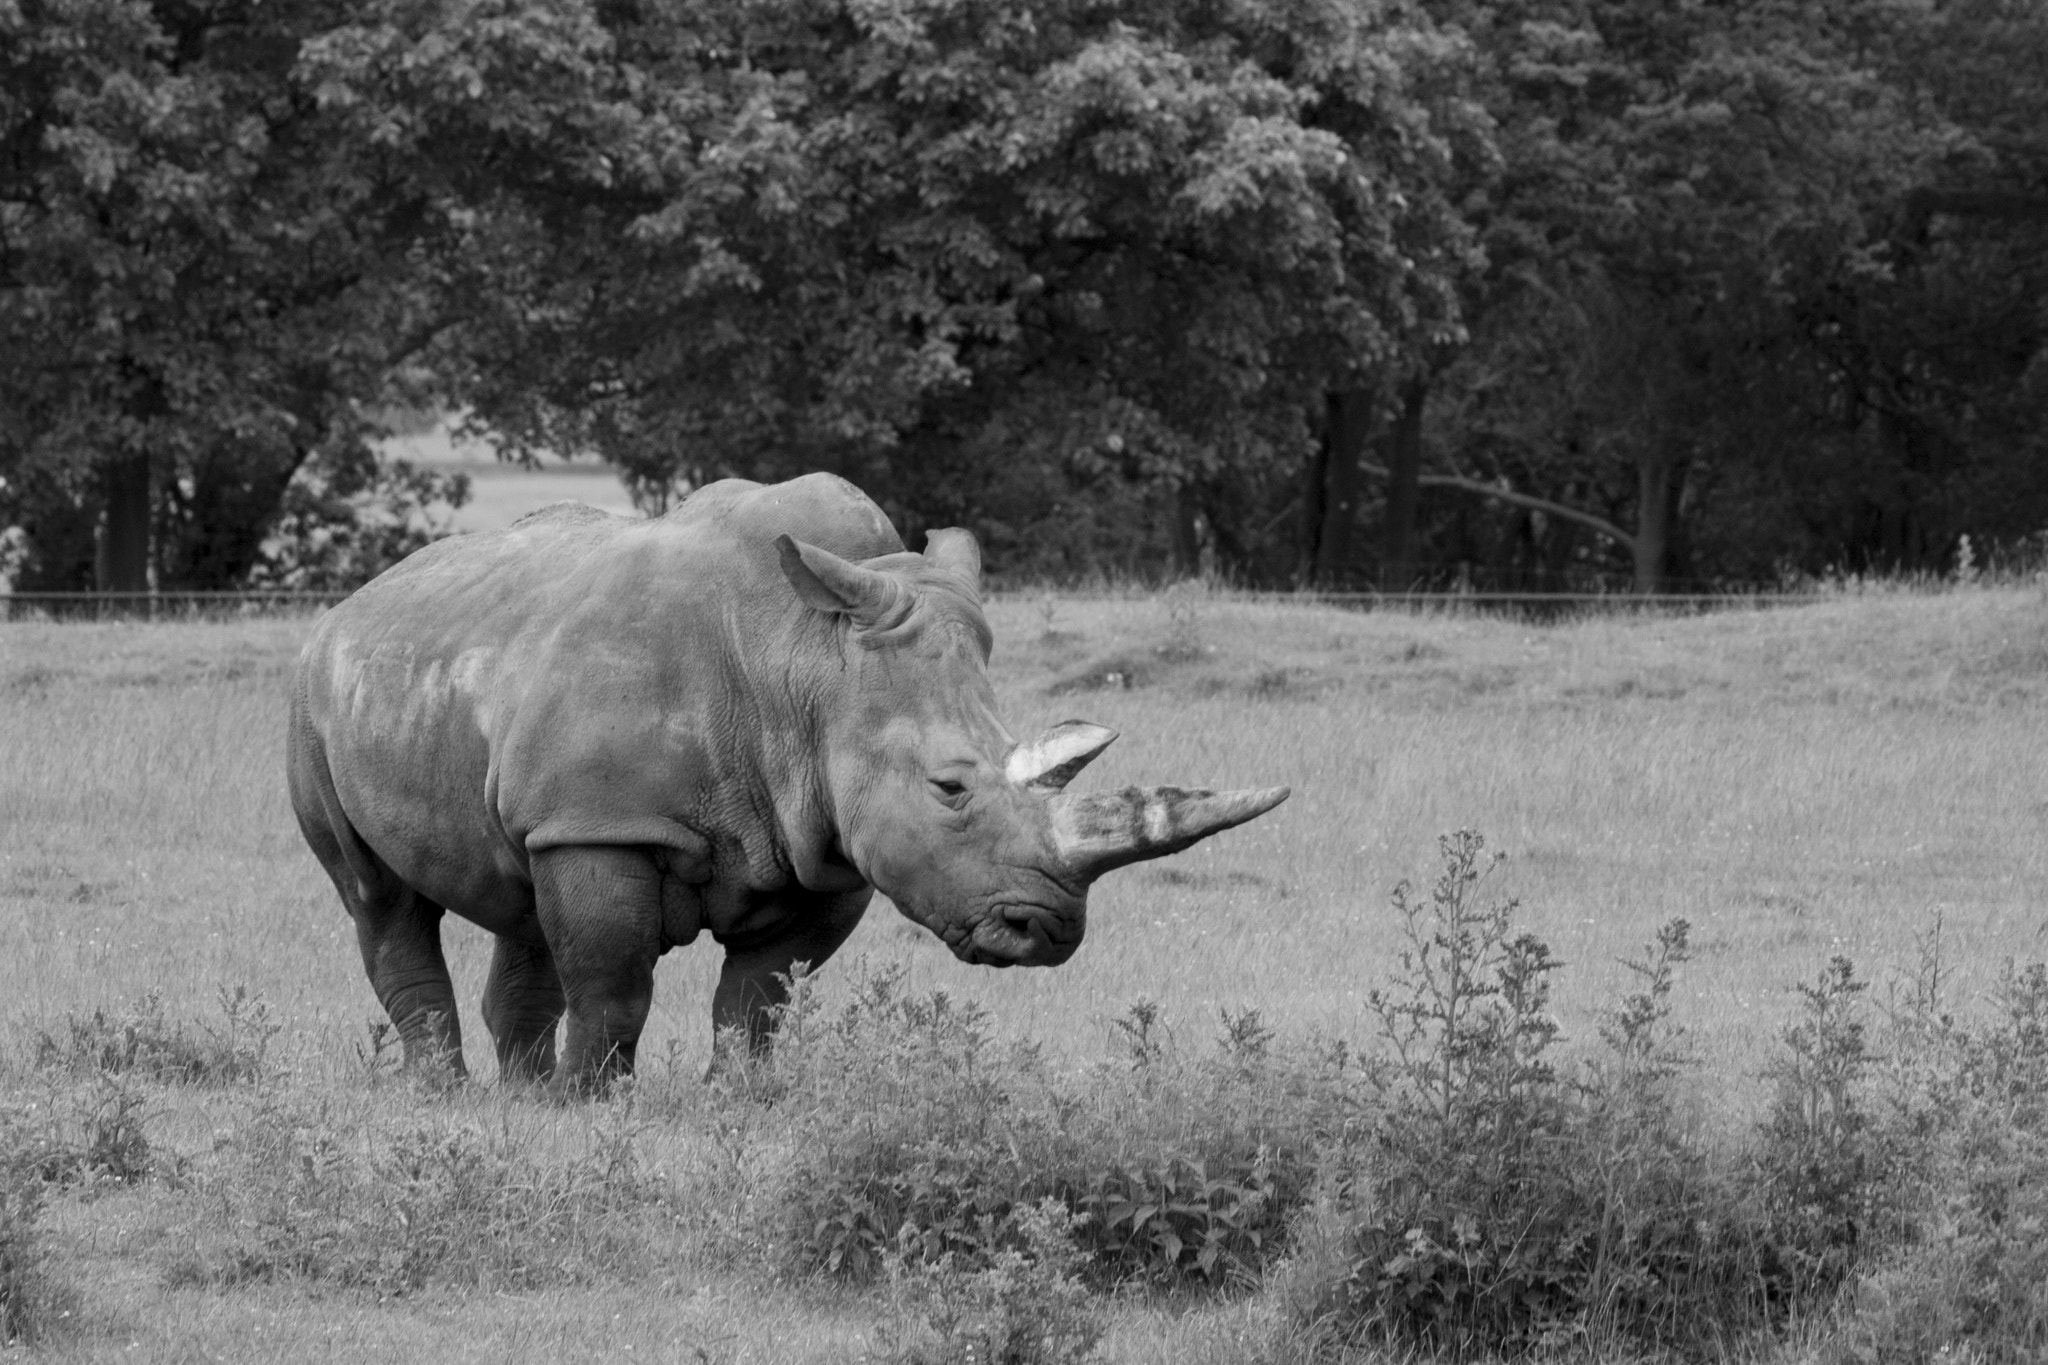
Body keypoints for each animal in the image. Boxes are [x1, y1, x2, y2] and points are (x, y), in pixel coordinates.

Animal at [287, 473, 1288, 1093]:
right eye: (949, 789)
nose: (1045, 932)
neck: (805, 661)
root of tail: (358, 598)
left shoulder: (826, 844)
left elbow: (759, 995)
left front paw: (734, 1096)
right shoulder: (607, 819)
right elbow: (612, 980)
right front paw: (591, 1106)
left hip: (480, 697)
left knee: (521, 894)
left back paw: (517, 1095)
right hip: (317, 697)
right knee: (377, 895)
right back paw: (445, 1090)